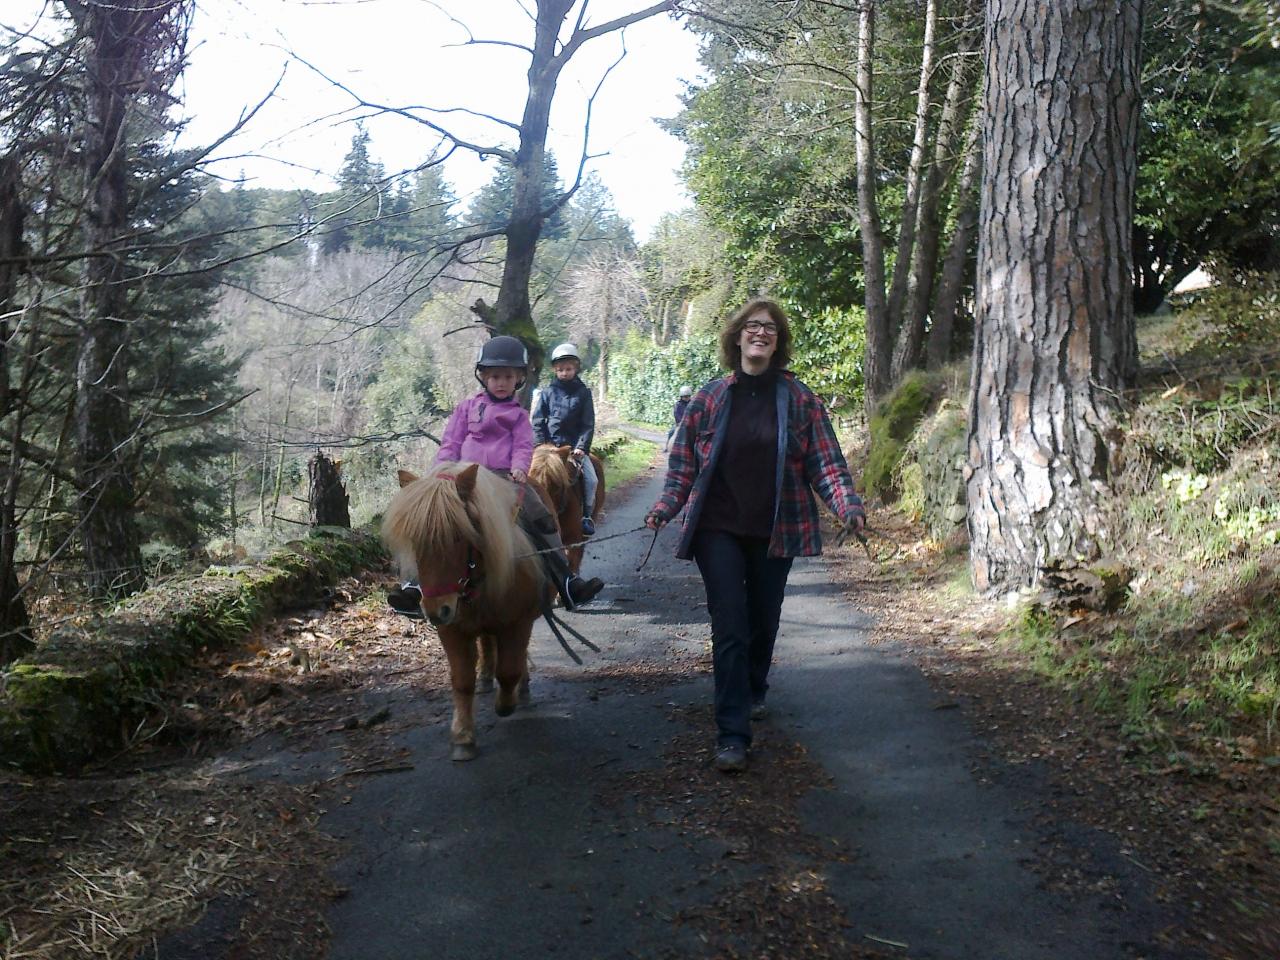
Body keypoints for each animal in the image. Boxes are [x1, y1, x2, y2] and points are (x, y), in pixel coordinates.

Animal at [384, 463, 550, 762]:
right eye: (415, 540)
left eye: (459, 536)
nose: (437, 610)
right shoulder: (452, 630)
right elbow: (462, 681)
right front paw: (462, 737)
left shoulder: (518, 623)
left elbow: (509, 670)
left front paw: (506, 703)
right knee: (488, 643)